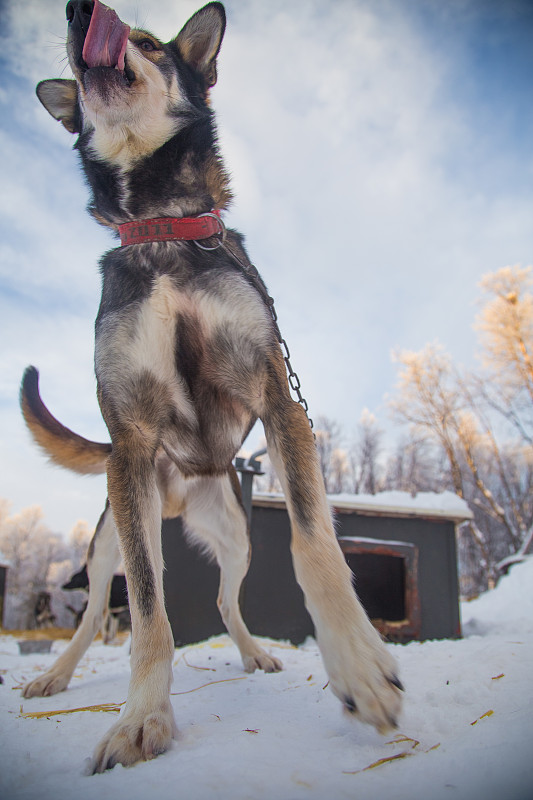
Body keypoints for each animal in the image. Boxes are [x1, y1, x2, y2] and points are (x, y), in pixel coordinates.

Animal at [22, 1, 402, 776]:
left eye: (145, 40)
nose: (79, 12)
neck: (164, 228)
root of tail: (181, 488)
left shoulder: (277, 399)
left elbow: (315, 547)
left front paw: (358, 665)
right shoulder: (129, 442)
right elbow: (147, 614)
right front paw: (142, 718)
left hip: (234, 537)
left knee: (228, 604)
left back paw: (255, 654)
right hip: (113, 528)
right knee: (104, 608)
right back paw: (55, 675)